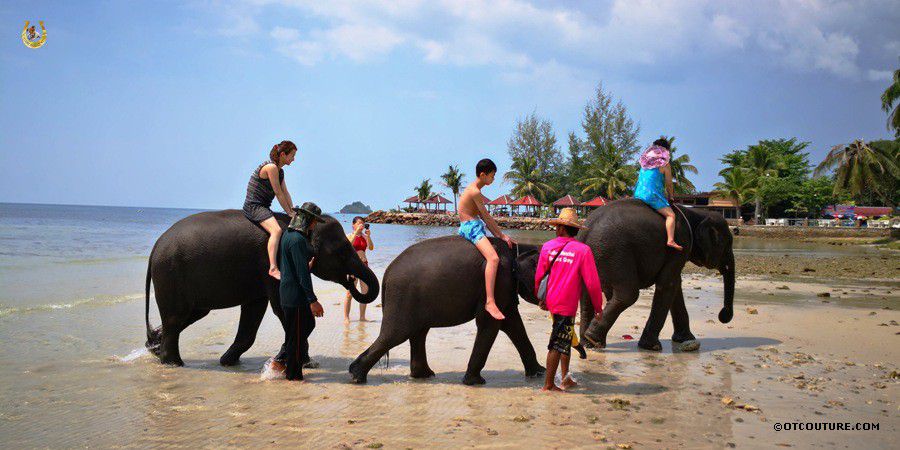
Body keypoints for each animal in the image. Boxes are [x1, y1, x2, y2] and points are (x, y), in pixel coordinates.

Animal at [145, 210, 380, 366]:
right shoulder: (274, 264)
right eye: (341, 252)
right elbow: (282, 308)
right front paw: (296, 360)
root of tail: (154, 248)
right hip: (170, 276)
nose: (350, 278)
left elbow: (254, 310)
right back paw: (172, 362)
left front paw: (227, 361)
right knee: (176, 317)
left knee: (191, 314)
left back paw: (155, 347)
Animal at [350, 237, 548, 384]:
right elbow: (491, 323)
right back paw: (356, 376)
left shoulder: (506, 289)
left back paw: (423, 375)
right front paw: (475, 382)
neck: (519, 248)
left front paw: (540, 373)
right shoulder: (497, 282)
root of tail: (387, 273)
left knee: (417, 332)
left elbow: (512, 323)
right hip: (402, 297)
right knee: (395, 334)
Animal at [580, 200, 736, 352]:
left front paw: (685, 339)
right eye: (728, 243)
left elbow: (675, 285)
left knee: (587, 295)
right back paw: (593, 339)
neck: (696, 213)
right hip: (616, 254)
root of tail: (586, 229)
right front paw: (652, 346)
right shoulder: (680, 246)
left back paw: (587, 343)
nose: (723, 316)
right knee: (627, 295)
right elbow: (667, 284)